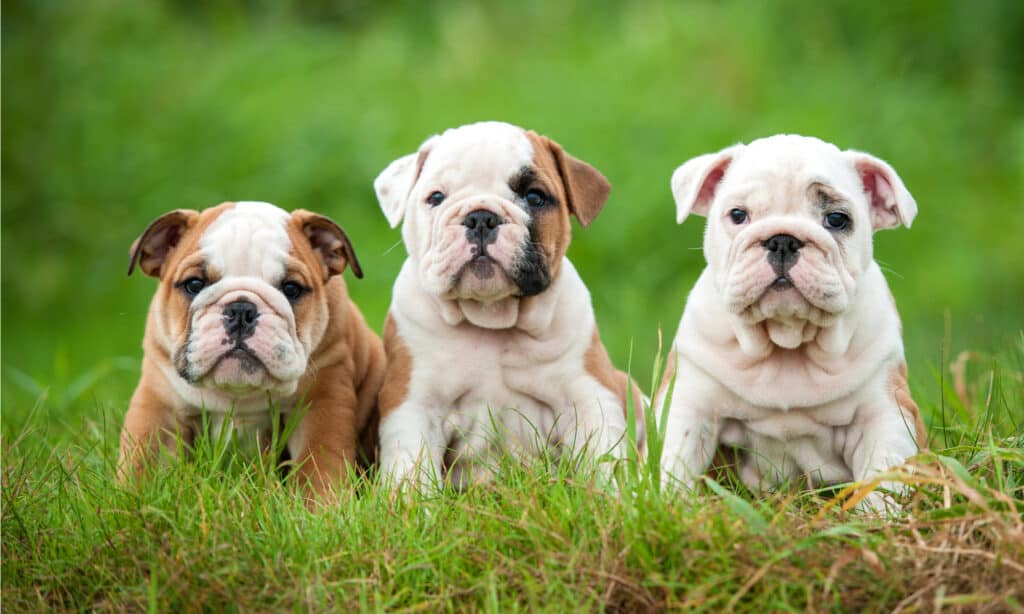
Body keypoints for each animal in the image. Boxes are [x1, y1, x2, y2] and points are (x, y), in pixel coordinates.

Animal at [117, 203, 387, 505]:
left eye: (291, 288)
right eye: (194, 284)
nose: (241, 310)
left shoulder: (321, 402)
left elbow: (318, 463)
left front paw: (319, 507)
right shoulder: (160, 404)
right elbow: (144, 460)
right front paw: (131, 502)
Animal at [372, 122, 643, 491]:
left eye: (534, 197)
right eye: (436, 198)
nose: (481, 218)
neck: (492, 319)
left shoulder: (590, 394)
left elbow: (602, 458)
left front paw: (608, 497)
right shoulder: (414, 404)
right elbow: (411, 467)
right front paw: (412, 504)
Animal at [655, 137, 929, 511]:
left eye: (837, 219)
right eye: (738, 215)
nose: (782, 240)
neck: (786, 341)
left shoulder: (885, 411)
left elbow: (884, 475)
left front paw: (880, 516)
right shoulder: (689, 400)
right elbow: (676, 462)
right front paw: (671, 506)